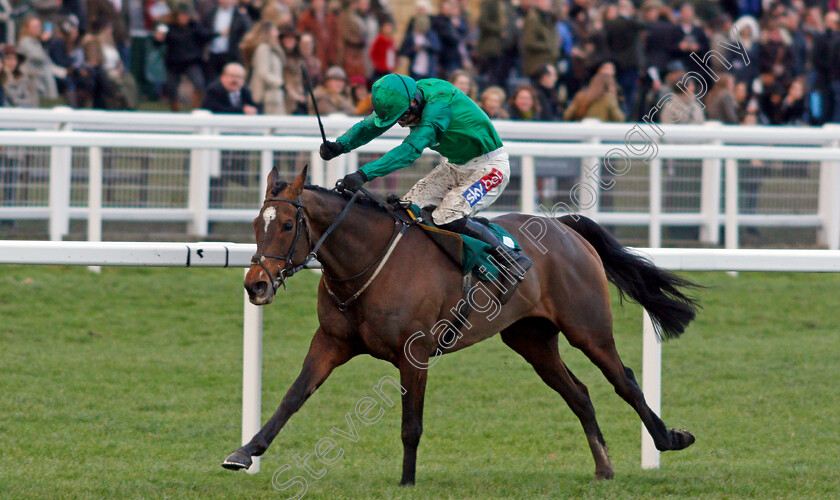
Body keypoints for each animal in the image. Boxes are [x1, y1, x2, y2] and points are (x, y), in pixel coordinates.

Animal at [221, 167, 696, 484]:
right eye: (256, 224)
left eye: (287, 224)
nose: (256, 284)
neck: (368, 261)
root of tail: (565, 227)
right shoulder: (332, 341)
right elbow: (292, 397)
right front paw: (245, 452)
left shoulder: (413, 354)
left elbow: (411, 424)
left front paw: (406, 483)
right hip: (531, 338)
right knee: (578, 393)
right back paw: (603, 466)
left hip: (588, 327)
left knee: (624, 380)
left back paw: (668, 439)